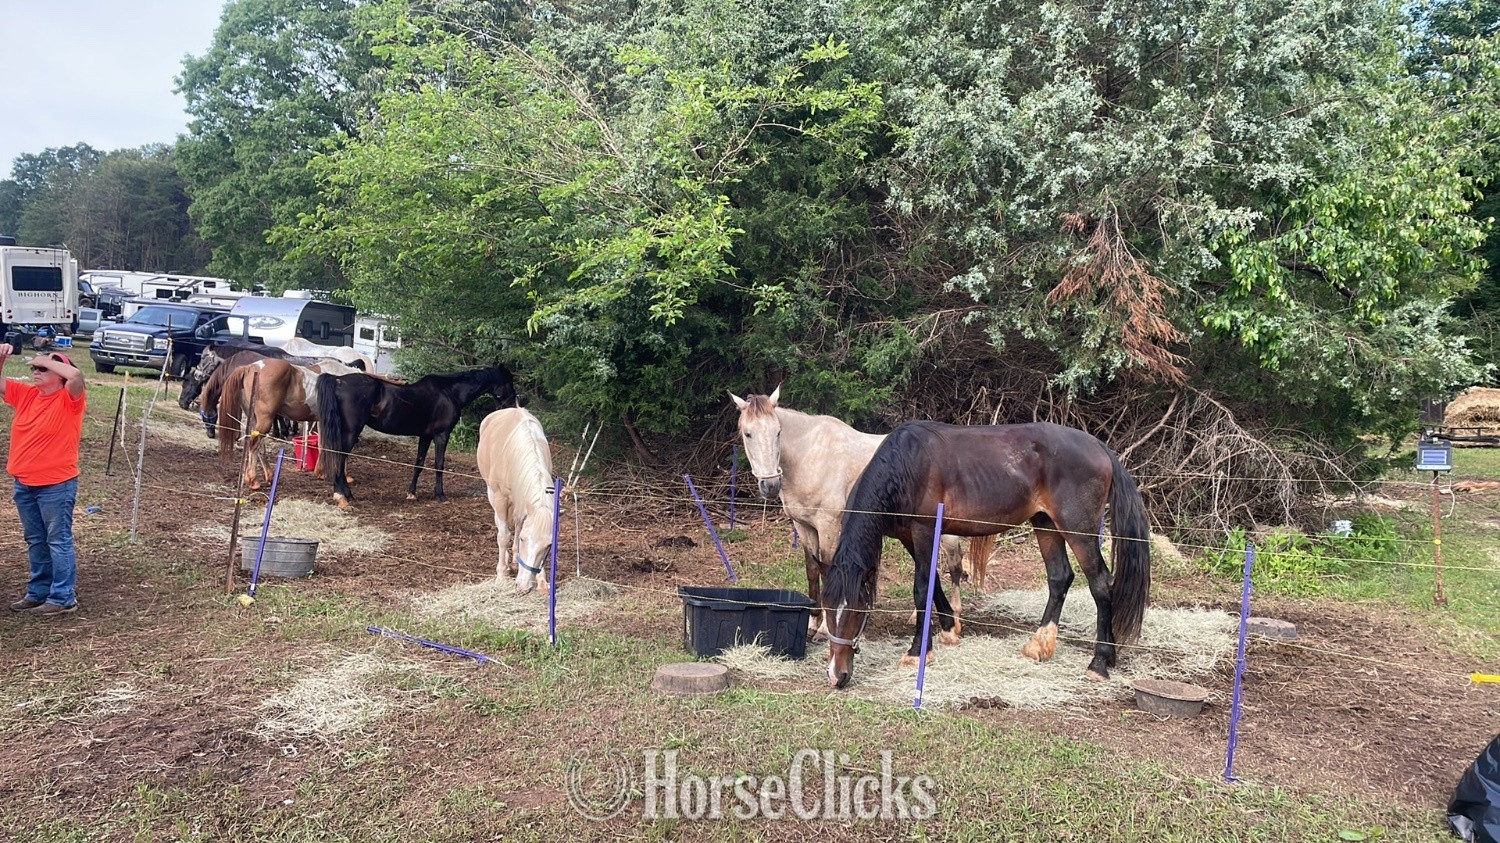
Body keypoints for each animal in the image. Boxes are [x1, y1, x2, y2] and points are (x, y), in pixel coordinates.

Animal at [314, 365, 518, 507]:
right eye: (509, 383)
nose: (513, 407)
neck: (450, 392)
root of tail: (338, 380)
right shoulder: (441, 435)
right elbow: (439, 464)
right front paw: (440, 494)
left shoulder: (425, 436)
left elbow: (418, 464)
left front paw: (411, 493)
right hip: (351, 432)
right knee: (339, 457)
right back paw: (343, 494)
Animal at [476, 408, 556, 593]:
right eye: (523, 540)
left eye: (548, 546)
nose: (524, 586)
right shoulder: (500, 497)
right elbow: (504, 535)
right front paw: (501, 575)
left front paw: (542, 581)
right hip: (493, 494)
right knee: (501, 525)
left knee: (518, 523)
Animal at [729, 388, 993, 639]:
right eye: (748, 434)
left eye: (778, 432)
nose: (770, 485)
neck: (810, 457)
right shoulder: (803, 526)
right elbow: (812, 571)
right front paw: (812, 624)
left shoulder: (828, 525)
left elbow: (826, 568)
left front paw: (824, 628)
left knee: (954, 566)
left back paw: (954, 620)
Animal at [820, 420, 1151, 689]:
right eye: (827, 608)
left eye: (857, 611)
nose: (838, 675)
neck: (906, 466)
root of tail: (1100, 447)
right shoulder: (908, 537)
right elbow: (934, 583)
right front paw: (949, 630)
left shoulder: (924, 530)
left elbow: (922, 588)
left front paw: (917, 653)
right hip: (1045, 524)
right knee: (1060, 578)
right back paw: (1039, 646)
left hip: (1078, 530)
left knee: (1100, 583)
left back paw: (1100, 662)